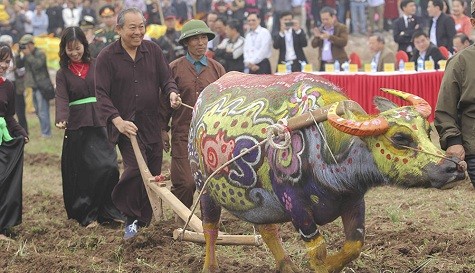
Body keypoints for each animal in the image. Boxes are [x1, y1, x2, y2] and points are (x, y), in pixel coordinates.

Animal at [188, 71, 466, 270]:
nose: (453, 167)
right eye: (400, 138)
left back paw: (287, 266)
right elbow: (319, 254)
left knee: (268, 230)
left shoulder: (354, 200)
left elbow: (354, 246)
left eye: (428, 131)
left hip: (262, 202)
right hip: (205, 189)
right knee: (210, 228)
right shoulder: (296, 206)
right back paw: (210, 267)